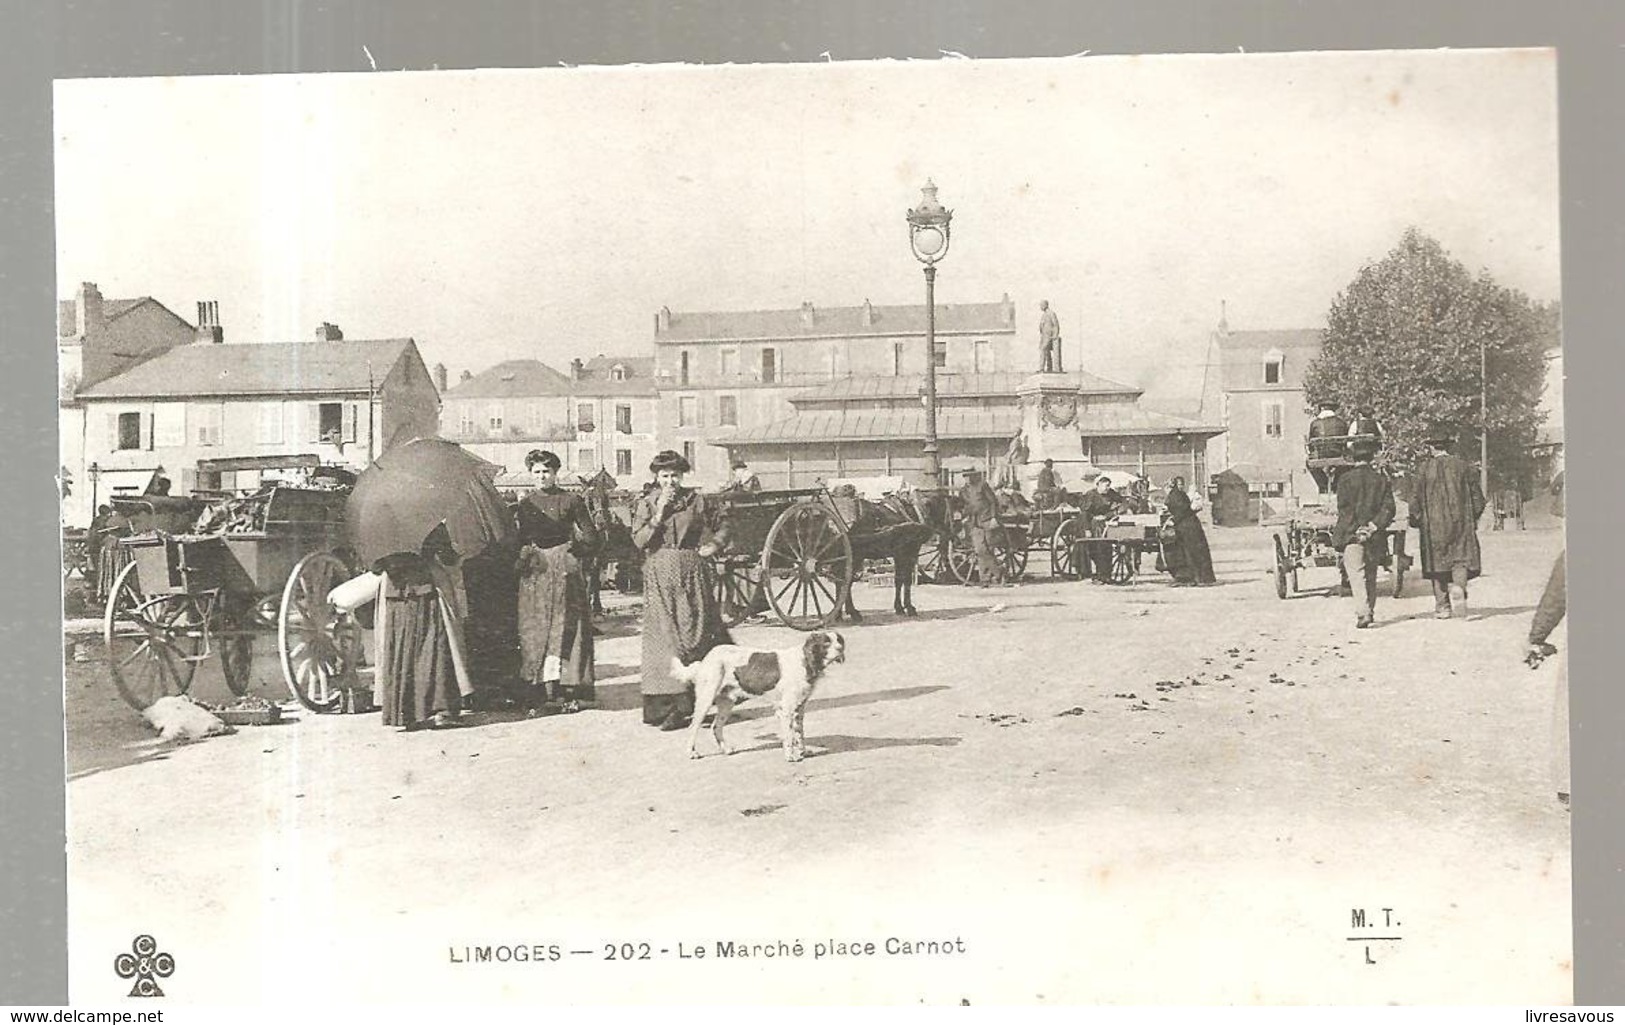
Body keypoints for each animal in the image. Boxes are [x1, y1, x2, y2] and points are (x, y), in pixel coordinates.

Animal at [672, 630, 851, 766]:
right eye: (826, 642)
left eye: (839, 640)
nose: (840, 649)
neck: (805, 661)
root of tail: (706, 658)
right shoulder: (786, 710)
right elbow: (789, 736)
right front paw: (791, 757)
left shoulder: (799, 708)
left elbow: (799, 734)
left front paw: (803, 752)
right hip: (706, 699)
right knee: (693, 727)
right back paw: (692, 753)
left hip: (727, 703)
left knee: (716, 726)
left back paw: (726, 750)